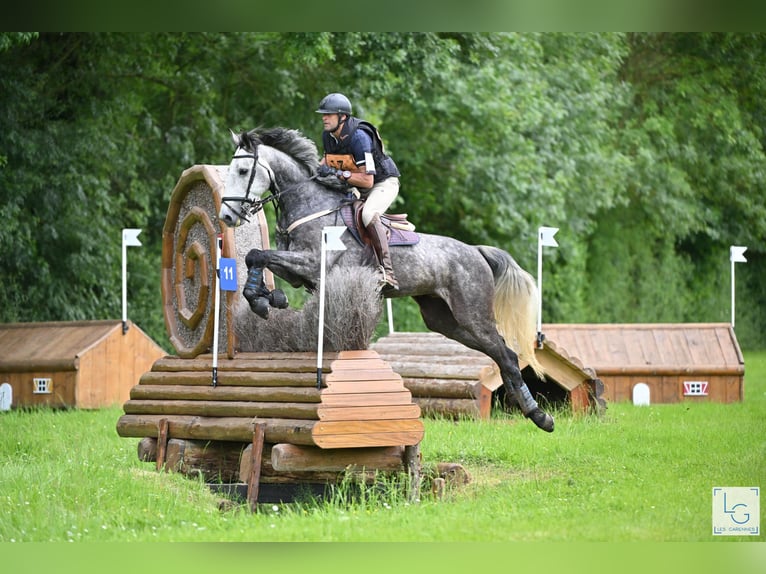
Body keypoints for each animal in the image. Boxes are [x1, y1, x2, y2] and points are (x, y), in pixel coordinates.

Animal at [219, 126, 556, 432]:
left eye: (243, 170)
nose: (226, 217)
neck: (311, 207)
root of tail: (475, 251)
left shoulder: (314, 264)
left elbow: (257, 255)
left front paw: (262, 302)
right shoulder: (298, 271)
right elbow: (258, 256)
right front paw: (266, 297)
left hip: (473, 314)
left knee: (507, 355)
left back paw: (540, 417)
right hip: (445, 320)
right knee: (499, 353)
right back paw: (527, 409)